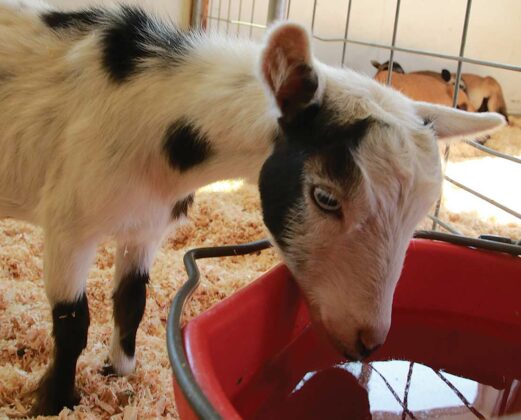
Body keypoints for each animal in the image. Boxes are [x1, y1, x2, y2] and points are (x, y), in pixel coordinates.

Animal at [0, 0, 504, 414]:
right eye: (325, 197)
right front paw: (54, 402)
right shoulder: (70, 225)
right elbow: (72, 322)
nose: (368, 341)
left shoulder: (146, 224)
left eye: (420, 213)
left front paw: (119, 369)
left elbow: (132, 300)